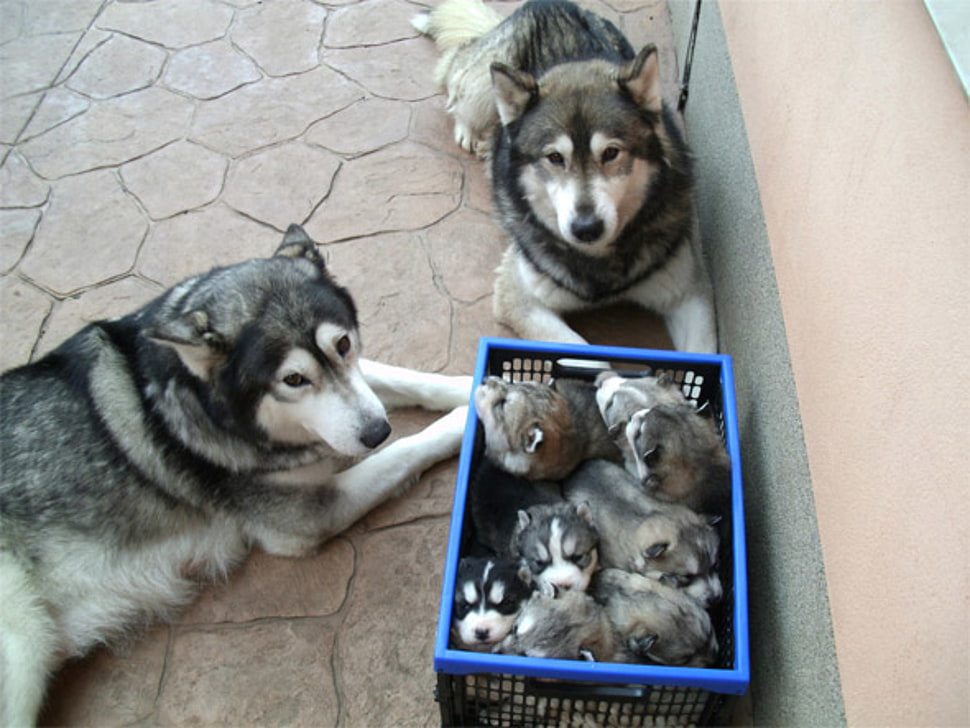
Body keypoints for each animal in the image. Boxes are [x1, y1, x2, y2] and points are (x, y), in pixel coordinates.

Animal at [0, 225, 471, 726]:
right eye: (293, 380)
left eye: (343, 345)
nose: (377, 430)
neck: (200, 402)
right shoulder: (304, 516)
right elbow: (406, 449)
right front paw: (465, 418)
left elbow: (396, 377)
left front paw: (469, 383)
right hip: (22, 643)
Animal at [413, 0, 717, 352]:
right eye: (555, 158)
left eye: (611, 153)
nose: (586, 229)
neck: (599, 262)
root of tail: (547, 3)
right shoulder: (517, 296)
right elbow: (585, 353)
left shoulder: (690, 293)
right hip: (483, 87)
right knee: (456, 79)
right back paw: (470, 132)